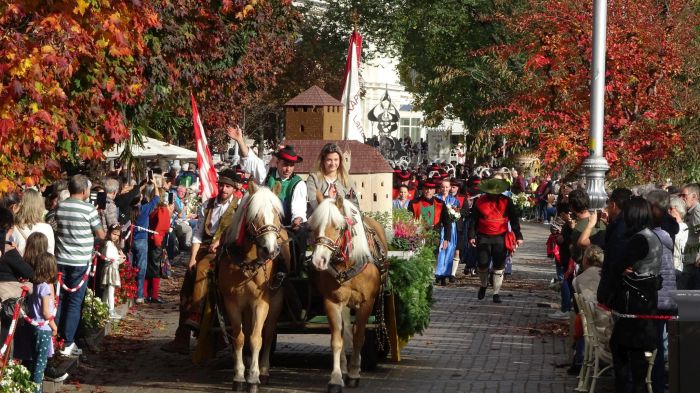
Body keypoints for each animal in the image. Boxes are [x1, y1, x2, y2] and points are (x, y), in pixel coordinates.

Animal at [216, 183, 288, 392]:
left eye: (277, 214)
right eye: (255, 215)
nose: (270, 250)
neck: (247, 263)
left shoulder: (261, 303)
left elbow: (257, 338)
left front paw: (254, 377)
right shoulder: (232, 303)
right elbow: (239, 337)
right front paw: (240, 375)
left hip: (276, 302)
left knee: (269, 332)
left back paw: (263, 370)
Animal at [308, 194, 388, 390]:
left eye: (338, 227)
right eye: (314, 227)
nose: (318, 260)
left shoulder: (367, 302)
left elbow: (359, 336)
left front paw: (354, 373)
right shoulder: (331, 301)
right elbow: (337, 340)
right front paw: (336, 378)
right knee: (345, 332)